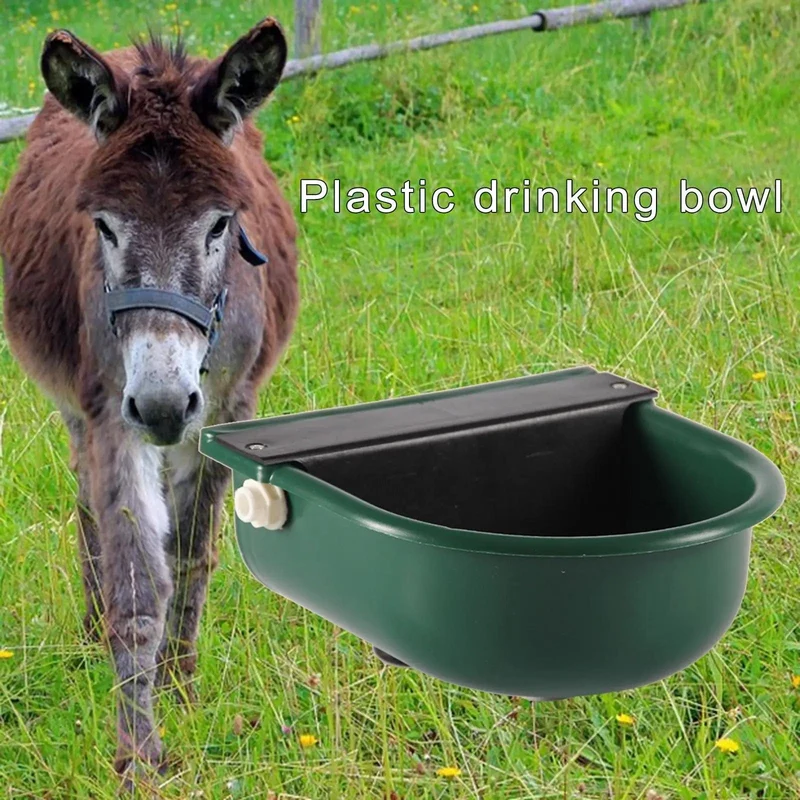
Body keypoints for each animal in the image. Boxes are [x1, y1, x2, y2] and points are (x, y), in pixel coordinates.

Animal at [0, 18, 298, 785]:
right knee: (86, 505)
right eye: (104, 226)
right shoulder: (112, 410)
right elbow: (136, 583)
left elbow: (190, 556)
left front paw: (181, 687)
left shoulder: (226, 408)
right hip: (82, 410)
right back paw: (89, 633)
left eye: (221, 224)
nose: (163, 406)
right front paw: (137, 755)